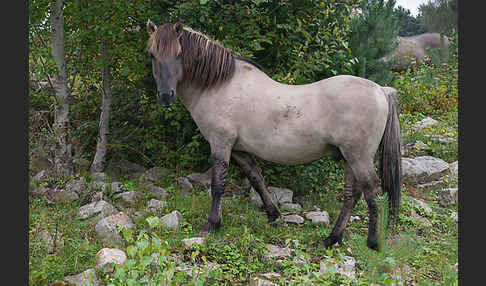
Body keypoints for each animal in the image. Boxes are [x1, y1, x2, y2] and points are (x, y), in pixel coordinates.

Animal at [145, 20, 402, 249]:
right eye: (152, 55)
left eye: (178, 53)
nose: (165, 96)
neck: (218, 85)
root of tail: (381, 90)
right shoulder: (239, 150)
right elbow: (256, 179)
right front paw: (273, 215)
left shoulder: (221, 144)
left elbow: (218, 185)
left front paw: (212, 225)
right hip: (349, 157)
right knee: (352, 195)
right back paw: (331, 239)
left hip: (358, 157)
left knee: (372, 192)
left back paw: (372, 242)